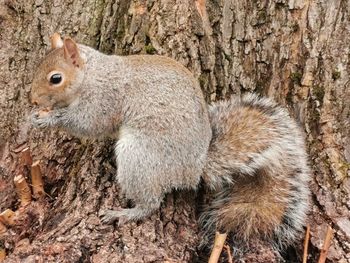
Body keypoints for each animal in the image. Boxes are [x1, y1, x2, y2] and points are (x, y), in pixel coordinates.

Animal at [29, 34, 308, 253]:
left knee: (151, 203)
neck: (92, 74)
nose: (33, 100)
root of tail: (194, 169)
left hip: (139, 157)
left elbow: (90, 124)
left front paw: (50, 118)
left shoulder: (105, 99)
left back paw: (126, 213)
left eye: (56, 78)